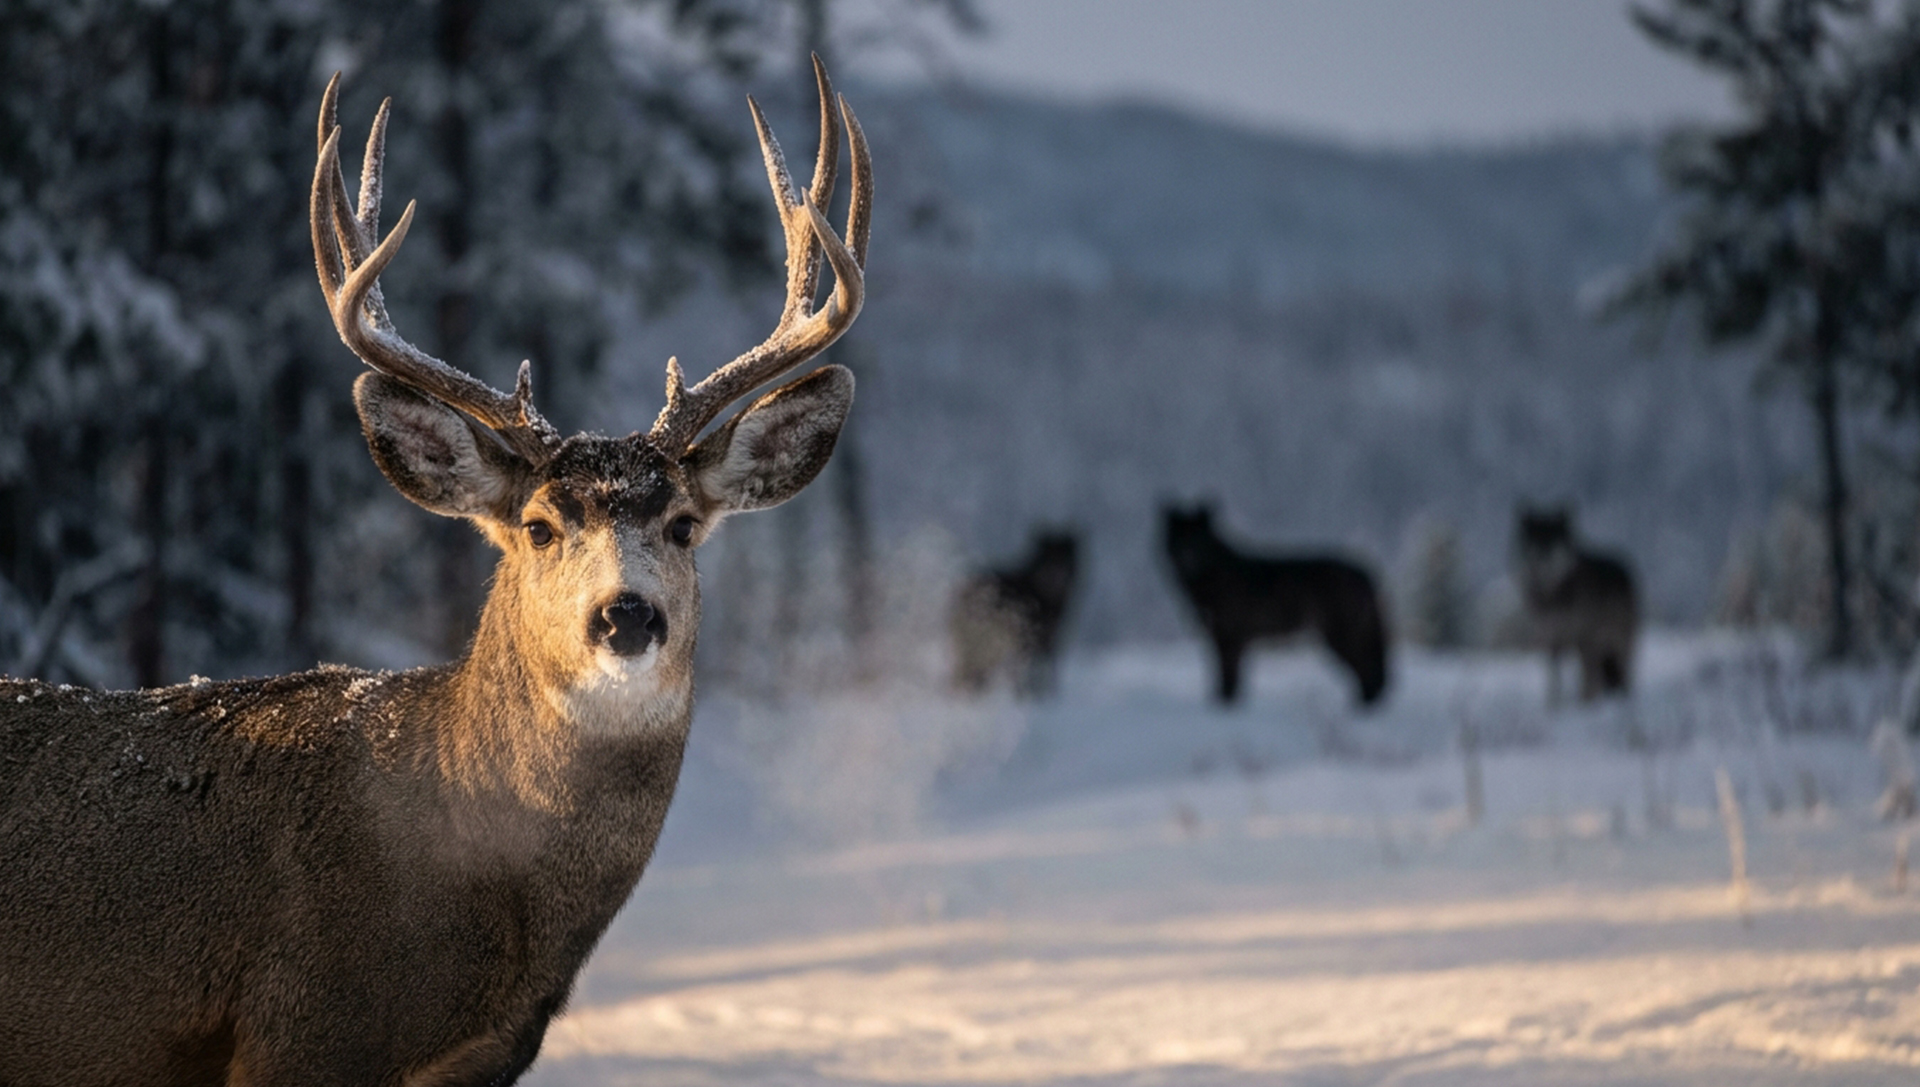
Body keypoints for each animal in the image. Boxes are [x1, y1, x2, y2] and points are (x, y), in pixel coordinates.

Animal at [1161, 504, 1388, 706]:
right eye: (1179, 537)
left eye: (1198, 539)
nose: (1187, 556)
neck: (1215, 577)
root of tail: (1365, 573)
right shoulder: (1221, 640)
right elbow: (1224, 683)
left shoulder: (1230, 640)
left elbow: (1228, 683)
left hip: (1340, 640)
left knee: (1370, 675)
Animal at [1513, 505, 1638, 702]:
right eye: (1536, 538)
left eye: (1552, 539)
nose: (1542, 555)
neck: (1552, 593)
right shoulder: (1552, 640)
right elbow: (1554, 681)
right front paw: (1553, 706)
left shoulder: (1585, 639)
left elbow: (1588, 680)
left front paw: (1586, 705)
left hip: (1618, 644)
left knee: (1622, 676)